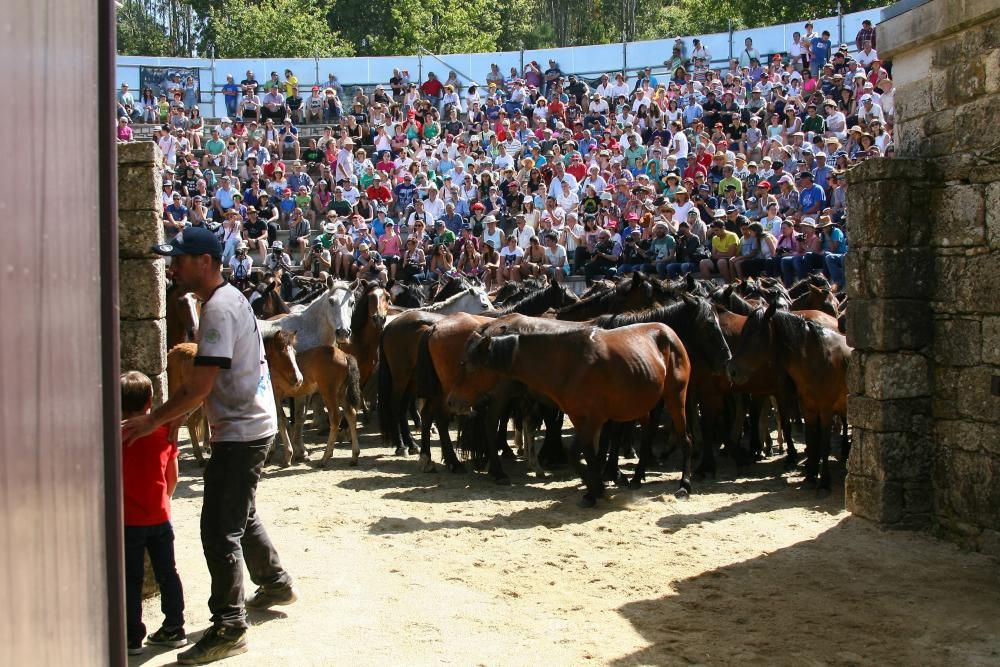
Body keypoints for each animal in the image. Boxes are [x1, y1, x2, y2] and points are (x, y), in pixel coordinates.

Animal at [450, 320, 692, 506]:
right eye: (461, 364)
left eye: (470, 367)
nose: (452, 401)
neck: (570, 363)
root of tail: (667, 331)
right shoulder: (579, 417)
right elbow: (587, 453)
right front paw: (595, 490)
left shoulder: (594, 418)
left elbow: (577, 453)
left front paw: (597, 488)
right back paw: (638, 477)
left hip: (675, 398)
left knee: (685, 440)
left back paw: (684, 486)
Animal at [728, 306, 852, 494]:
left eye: (755, 334)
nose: (732, 370)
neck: (816, 359)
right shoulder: (808, 409)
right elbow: (811, 440)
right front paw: (810, 476)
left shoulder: (825, 410)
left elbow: (823, 443)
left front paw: (824, 482)